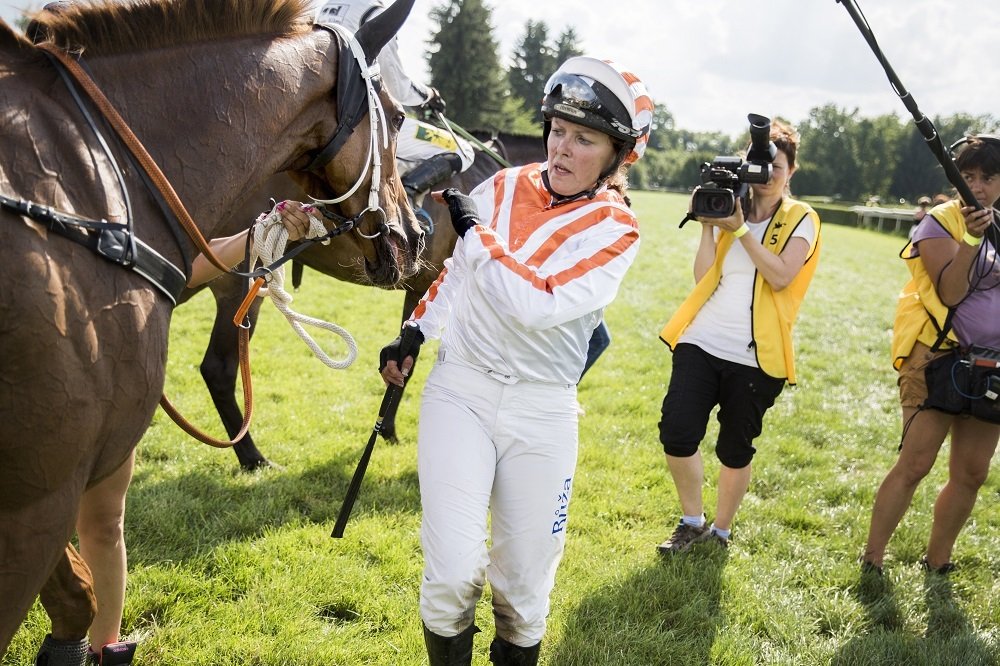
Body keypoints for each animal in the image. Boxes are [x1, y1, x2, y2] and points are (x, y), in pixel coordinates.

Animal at [188, 130, 548, 464]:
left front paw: (386, 428)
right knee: (218, 368)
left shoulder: (420, 289)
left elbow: (406, 359)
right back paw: (252, 457)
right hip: (235, 288)